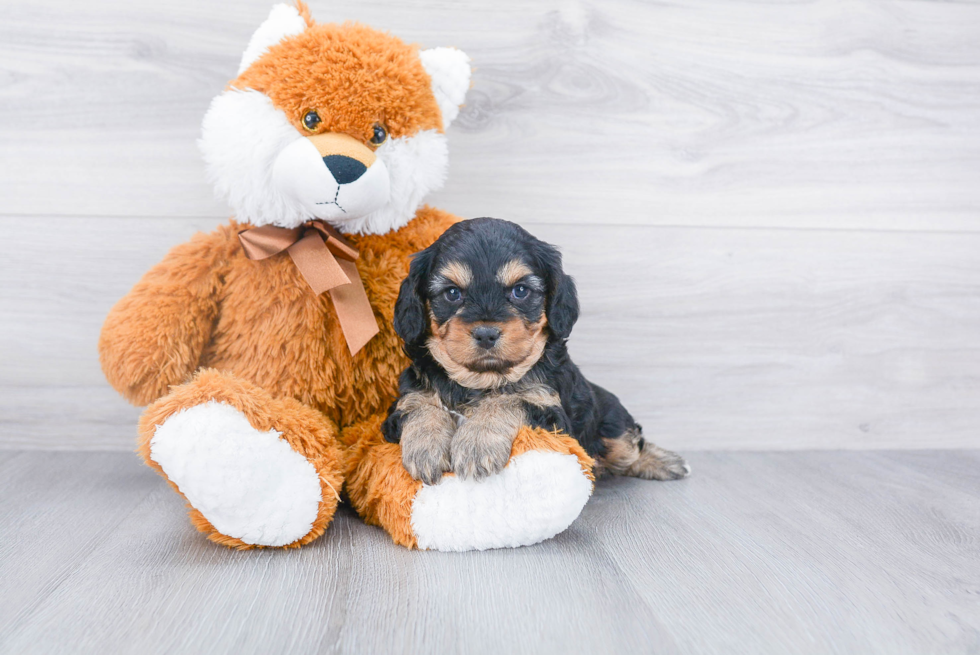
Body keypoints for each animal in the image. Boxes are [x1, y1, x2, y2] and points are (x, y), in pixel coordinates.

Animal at [382, 219, 688, 486]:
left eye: (520, 291)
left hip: (611, 421)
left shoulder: (549, 411)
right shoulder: (400, 407)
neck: (481, 380)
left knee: (630, 445)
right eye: (452, 293)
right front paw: (426, 448)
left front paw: (477, 443)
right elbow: (420, 407)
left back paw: (665, 462)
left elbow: (508, 399)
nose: (486, 333)